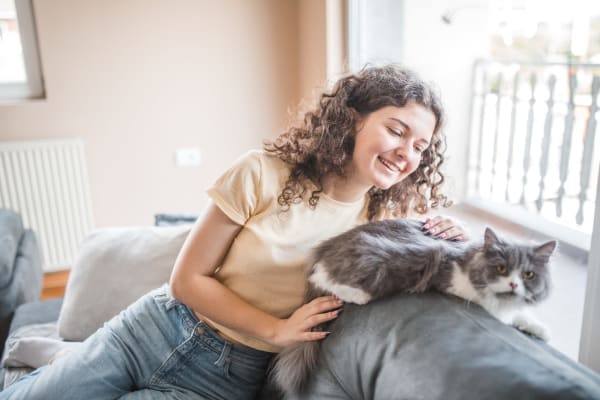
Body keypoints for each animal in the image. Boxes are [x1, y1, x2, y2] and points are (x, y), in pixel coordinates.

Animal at [270, 217, 556, 392]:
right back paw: (358, 296)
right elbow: (496, 311)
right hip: (378, 259)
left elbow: (519, 315)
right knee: (324, 277)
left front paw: (539, 329)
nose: (513, 285)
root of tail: (324, 249)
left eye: (528, 274)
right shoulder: (453, 279)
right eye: (501, 268)